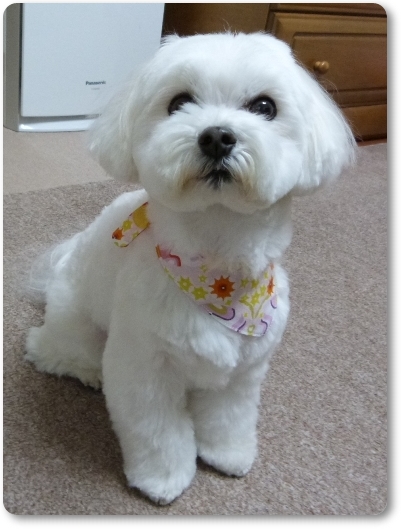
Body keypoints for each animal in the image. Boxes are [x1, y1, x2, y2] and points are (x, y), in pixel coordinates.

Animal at [25, 32, 356, 504]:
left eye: (264, 106)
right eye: (179, 101)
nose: (217, 136)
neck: (216, 272)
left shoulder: (244, 373)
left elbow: (229, 416)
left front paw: (227, 452)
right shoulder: (144, 370)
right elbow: (158, 431)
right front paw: (162, 479)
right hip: (77, 327)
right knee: (52, 350)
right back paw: (88, 371)